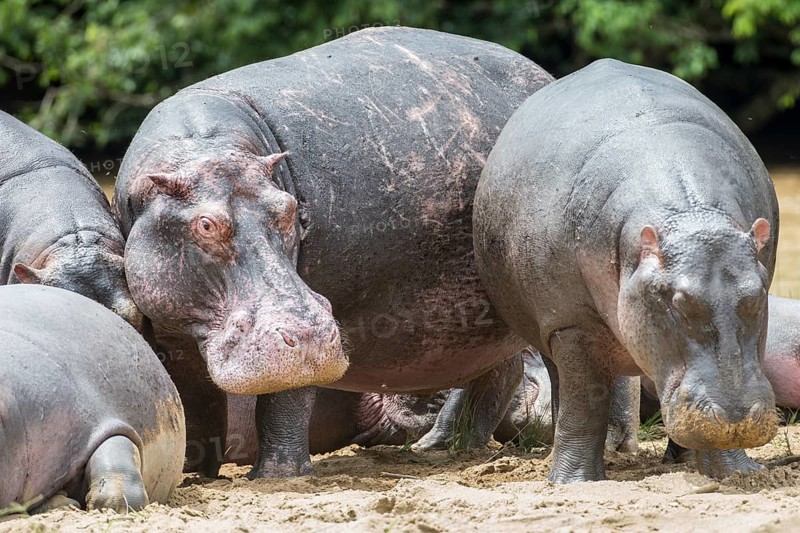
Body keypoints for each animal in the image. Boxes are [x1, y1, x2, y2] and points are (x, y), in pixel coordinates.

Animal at [114, 27, 553, 477]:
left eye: (290, 208)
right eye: (205, 225)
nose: (311, 334)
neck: (203, 148)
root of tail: (540, 74)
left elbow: (288, 395)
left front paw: (277, 476)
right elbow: (190, 394)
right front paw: (194, 468)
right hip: (481, 324)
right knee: (499, 369)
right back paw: (444, 447)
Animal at [473, 58, 779, 483]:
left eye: (757, 295)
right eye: (678, 302)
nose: (737, 420)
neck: (690, 215)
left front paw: (735, 473)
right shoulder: (570, 324)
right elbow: (584, 403)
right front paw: (574, 483)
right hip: (549, 330)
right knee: (565, 389)